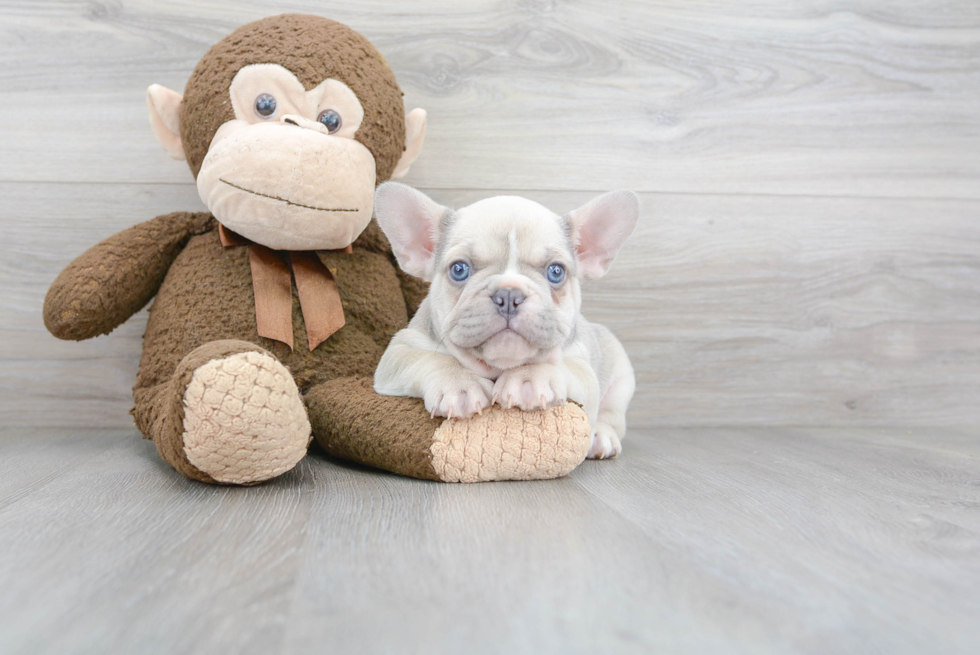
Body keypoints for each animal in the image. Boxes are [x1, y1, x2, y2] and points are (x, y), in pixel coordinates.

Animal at [372, 183, 640, 462]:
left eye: (556, 272)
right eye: (459, 269)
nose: (509, 295)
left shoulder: (582, 366)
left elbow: (557, 364)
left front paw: (530, 377)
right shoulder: (399, 351)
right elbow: (429, 358)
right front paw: (458, 384)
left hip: (621, 377)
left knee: (612, 415)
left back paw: (601, 437)